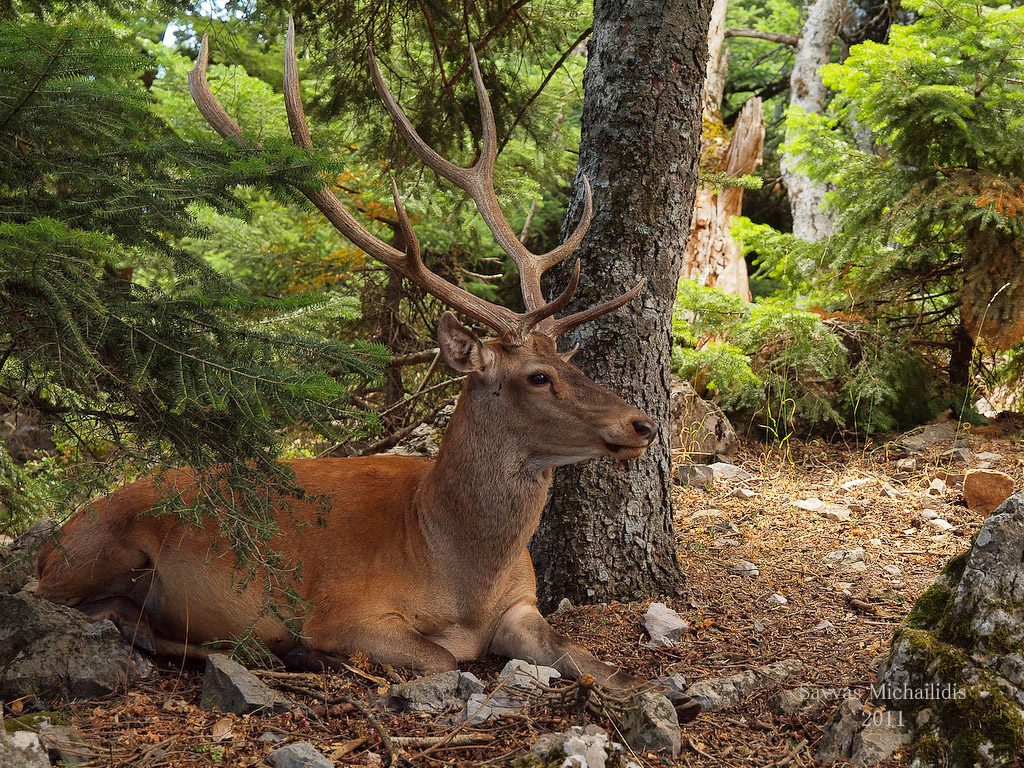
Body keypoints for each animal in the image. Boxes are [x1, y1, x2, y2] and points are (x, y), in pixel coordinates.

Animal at [37, 20, 696, 720]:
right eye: (535, 376)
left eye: (568, 362)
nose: (642, 423)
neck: (459, 573)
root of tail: (56, 537)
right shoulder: (344, 609)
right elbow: (441, 658)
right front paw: (321, 653)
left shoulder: (522, 604)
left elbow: (585, 655)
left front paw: (662, 692)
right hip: (100, 553)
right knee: (54, 604)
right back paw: (272, 653)